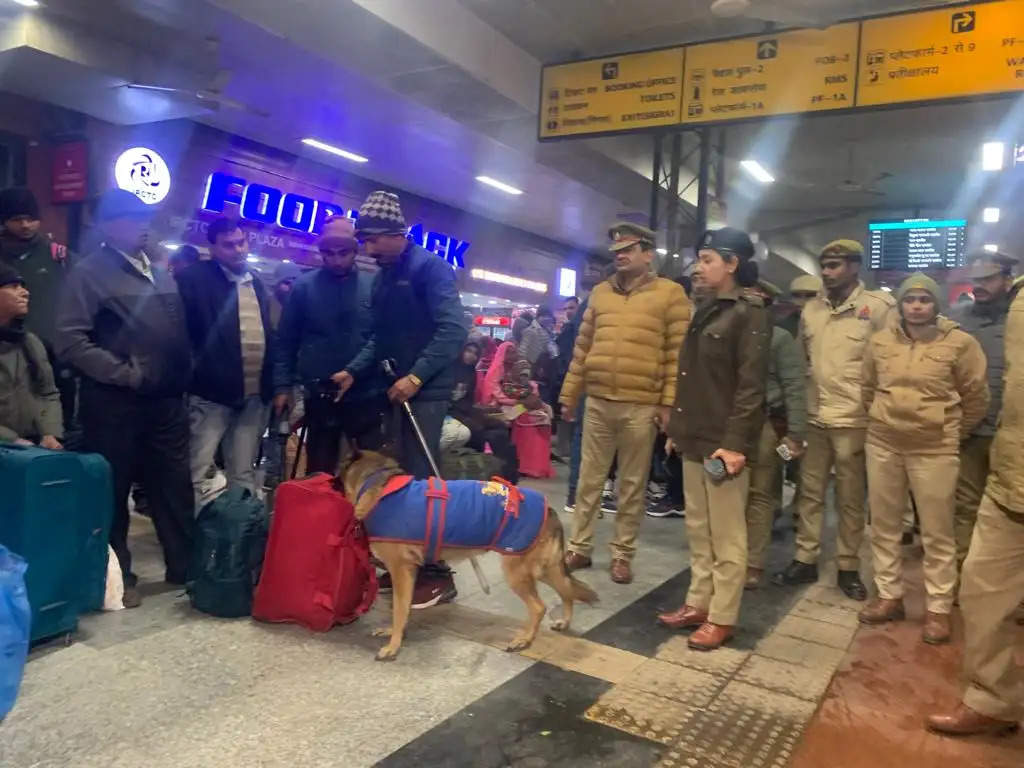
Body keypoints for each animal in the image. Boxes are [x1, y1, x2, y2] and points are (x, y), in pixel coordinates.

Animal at [342, 450, 598, 663]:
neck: (378, 484)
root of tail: (550, 511)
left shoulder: (401, 570)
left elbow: (399, 609)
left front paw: (393, 645)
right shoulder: (409, 572)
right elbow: (403, 609)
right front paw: (395, 634)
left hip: (518, 572)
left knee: (539, 607)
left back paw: (524, 640)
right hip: (543, 569)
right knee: (567, 591)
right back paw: (564, 622)